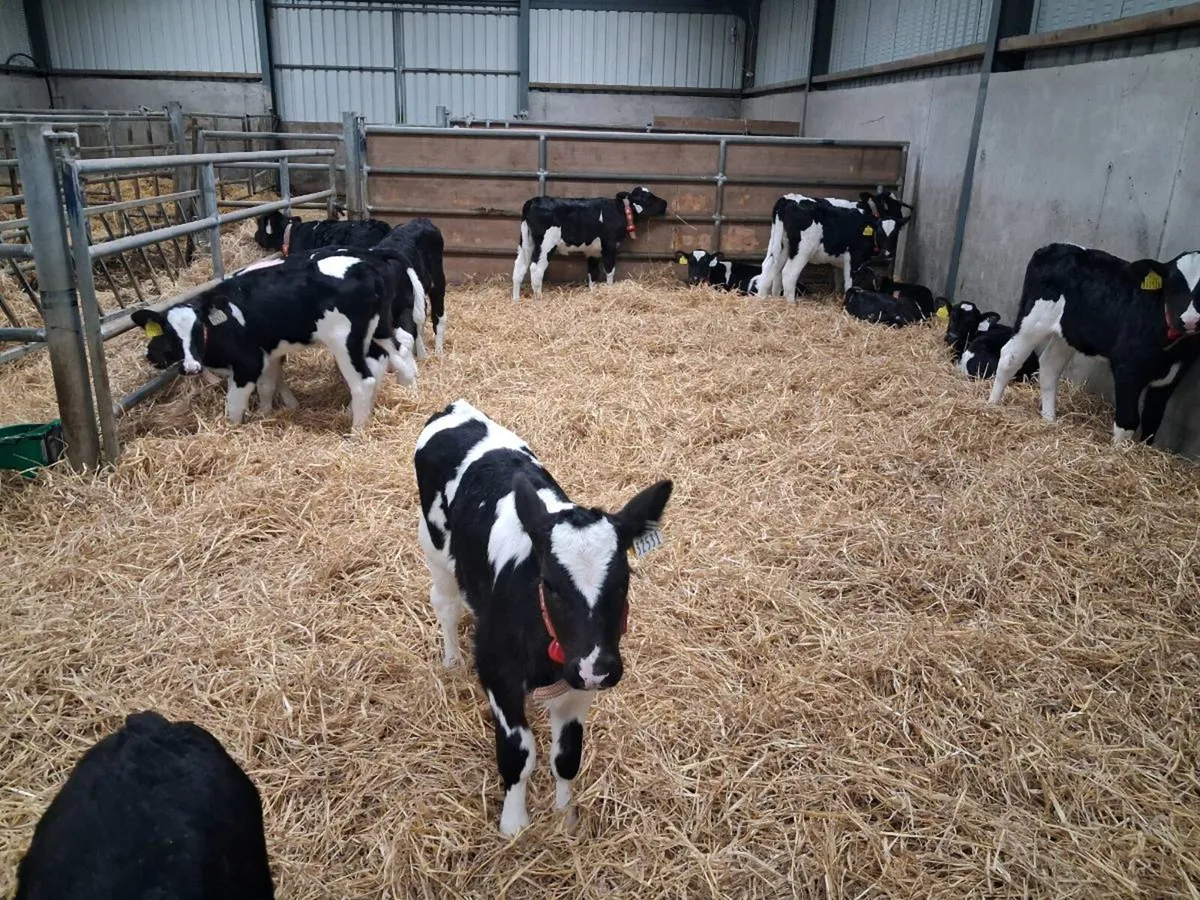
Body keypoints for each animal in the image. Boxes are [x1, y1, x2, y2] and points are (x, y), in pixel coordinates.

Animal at [132, 250, 398, 428]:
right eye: (170, 334)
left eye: (198, 328)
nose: (190, 367)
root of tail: (366, 266)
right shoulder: (267, 353)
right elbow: (268, 386)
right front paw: (268, 413)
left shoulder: (248, 363)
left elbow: (234, 404)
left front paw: (232, 430)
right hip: (373, 334)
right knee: (380, 361)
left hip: (344, 341)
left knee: (363, 382)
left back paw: (357, 430)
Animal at [414, 400, 673, 835]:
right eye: (549, 584)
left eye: (624, 578)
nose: (597, 667)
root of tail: (455, 408)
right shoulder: (498, 671)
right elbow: (519, 752)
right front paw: (514, 824)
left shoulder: (578, 683)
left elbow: (566, 757)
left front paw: (565, 816)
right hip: (433, 545)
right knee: (445, 603)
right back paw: (450, 659)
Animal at [512, 187, 668, 300]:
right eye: (647, 198)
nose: (665, 203)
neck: (619, 211)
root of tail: (535, 200)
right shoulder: (609, 246)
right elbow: (609, 270)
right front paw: (610, 290)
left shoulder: (593, 251)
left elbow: (593, 273)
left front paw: (593, 293)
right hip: (546, 244)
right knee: (536, 268)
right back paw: (539, 299)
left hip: (526, 241)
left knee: (519, 266)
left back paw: (516, 300)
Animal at [756, 194, 897, 302]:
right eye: (880, 233)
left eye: (896, 233)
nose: (888, 252)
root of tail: (789, 198)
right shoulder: (855, 257)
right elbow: (850, 282)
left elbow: (839, 278)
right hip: (802, 251)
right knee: (788, 273)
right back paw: (791, 304)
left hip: (781, 246)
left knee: (770, 268)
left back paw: (765, 299)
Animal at [989, 243, 1200, 443]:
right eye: (1173, 286)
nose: (1190, 320)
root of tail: (1051, 247)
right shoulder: (1127, 368)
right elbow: (1127, 421)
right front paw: (1118, 453)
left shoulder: (1172, 376)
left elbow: (1152, 420)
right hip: (1033, 320)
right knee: (1010, 358)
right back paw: (992, 405)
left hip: (1066, 334)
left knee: (1050, 365)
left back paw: (1049, 420)